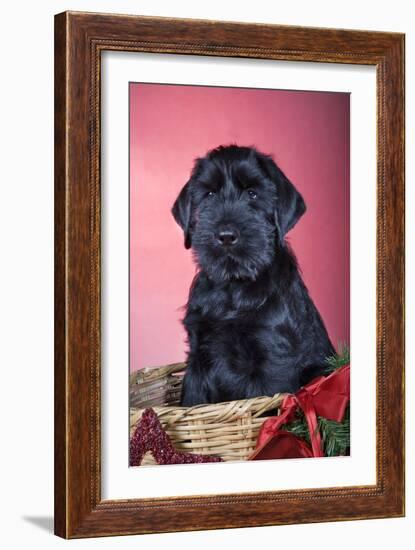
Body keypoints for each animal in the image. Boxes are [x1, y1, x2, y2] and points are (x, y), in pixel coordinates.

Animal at [172, 144, 334, 408]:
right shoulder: (198, 359)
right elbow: (193, 400)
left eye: (252, 194)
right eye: (209, 194)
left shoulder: (272, 361)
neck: (233, 289)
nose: (226, 236)